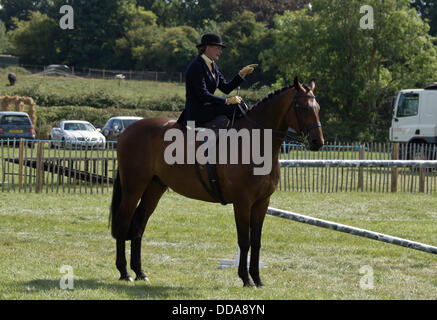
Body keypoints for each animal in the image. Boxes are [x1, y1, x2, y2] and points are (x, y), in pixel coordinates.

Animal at [109, 77, 324, 288]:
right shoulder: (242, 202)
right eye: (302, 107)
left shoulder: (262, 202)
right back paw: (124, 272)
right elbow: (244, 241)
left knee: (138, 226)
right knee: (124, 222)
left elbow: (256, 241)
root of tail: (129, 129)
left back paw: (140, 272)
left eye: (318, 107)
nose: (318, 142)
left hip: (154, 188)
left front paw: (257, 279)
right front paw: (246, 279)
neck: (254, 143)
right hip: (133, 188)